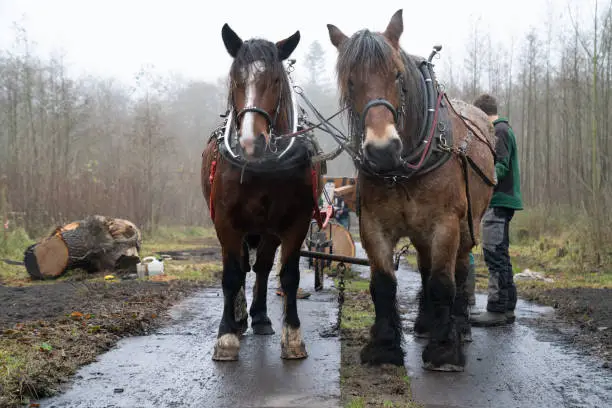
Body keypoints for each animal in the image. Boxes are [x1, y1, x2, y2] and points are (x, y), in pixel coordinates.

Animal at [202, 23, 326, 360]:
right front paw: (226, 334)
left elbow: (288, 275)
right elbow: (232, 275)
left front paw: (292, 336)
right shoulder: (226, 222)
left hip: (267, 229)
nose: (250, 142)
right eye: (235, 78)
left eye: (275, 80)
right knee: (241, 266)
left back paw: (259, 317)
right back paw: (239, 316)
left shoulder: (295, 222)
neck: (262, 167)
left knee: (261, 267)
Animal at [326, 9, 498, 372]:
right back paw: (424, 323)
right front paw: (384, 346)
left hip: (467, 225)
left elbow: (444, 283)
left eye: (397, 75)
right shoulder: (373, 224)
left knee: (458, 270)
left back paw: (460, 326)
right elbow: (384, 284)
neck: (403, 171)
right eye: (350, 81)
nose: (381, 151)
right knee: (424, 268)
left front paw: (444, 349)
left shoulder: (446, 224)